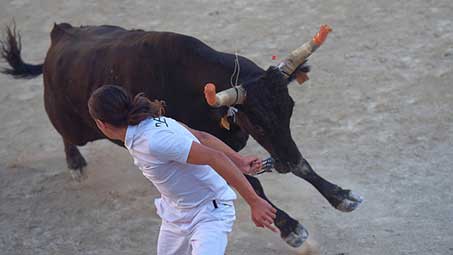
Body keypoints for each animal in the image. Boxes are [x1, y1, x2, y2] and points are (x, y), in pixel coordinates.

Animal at [0, 23, 360, 247]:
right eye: (256, 123)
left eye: (290, 109)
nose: (285, 162)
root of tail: (60, 36)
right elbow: (251, 183)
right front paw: (290, 227)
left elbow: (298, 167)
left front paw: (341, 195)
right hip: (72, 123)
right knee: (66, 136)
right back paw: (76, 165)